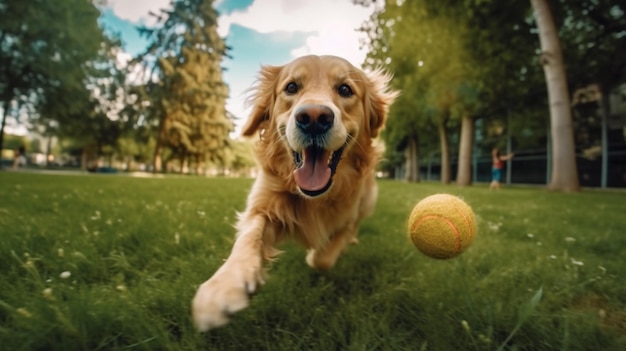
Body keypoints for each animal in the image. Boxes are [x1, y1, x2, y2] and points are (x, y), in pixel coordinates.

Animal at [191, 55, 394, 332]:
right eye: (291, 87)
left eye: (345, 89)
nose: (314, 118)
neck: (314, 196)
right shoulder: (262, 205)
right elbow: (249, 238)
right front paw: (223, 286)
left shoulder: (348, 216)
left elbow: (323, 258)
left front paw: (319, 252)